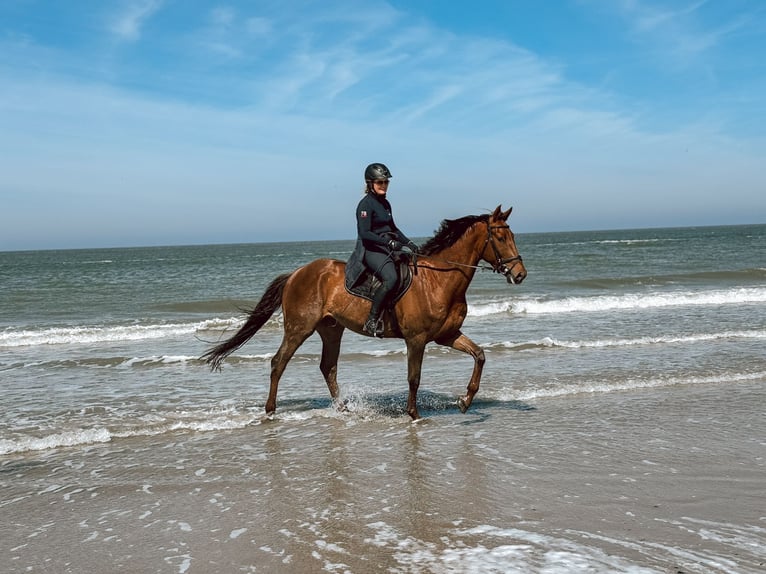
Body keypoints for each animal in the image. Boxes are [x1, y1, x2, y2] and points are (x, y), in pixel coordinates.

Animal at [202, 205, 528, 420]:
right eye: (500, 238)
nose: (520, 274)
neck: (438, 279)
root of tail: (296, 273)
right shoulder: (417, 339)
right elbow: (414, 377)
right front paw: (413, 414)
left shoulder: (446, 335)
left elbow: (480, 355)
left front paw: (465, 400)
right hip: (299, 328)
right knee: (278, 362)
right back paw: (270, 411)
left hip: (331, 329)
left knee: (328, 367)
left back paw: (343, 408)